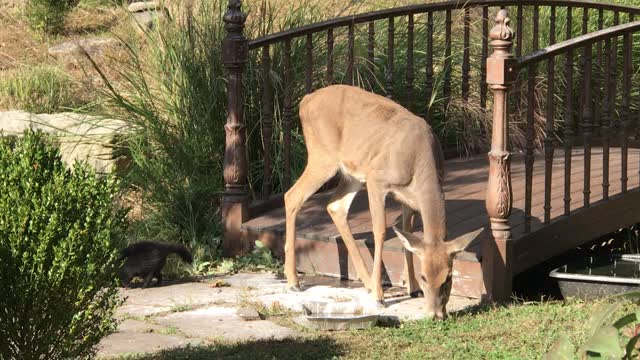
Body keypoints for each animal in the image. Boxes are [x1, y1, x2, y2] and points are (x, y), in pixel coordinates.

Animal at [284, 85, 480, 320]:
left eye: (448, 278)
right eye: (424, 276)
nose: (435, 314)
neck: (419, 162)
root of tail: (305, 101)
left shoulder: (408, 198)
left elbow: (407, 234)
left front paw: (411, 287)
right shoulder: (377, 180)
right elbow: (380, 232)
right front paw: (380, 296)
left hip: (352, 173)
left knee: (335, 206)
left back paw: (366, 282)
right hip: (323, 157)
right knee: (292, 196)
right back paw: (293, 281)